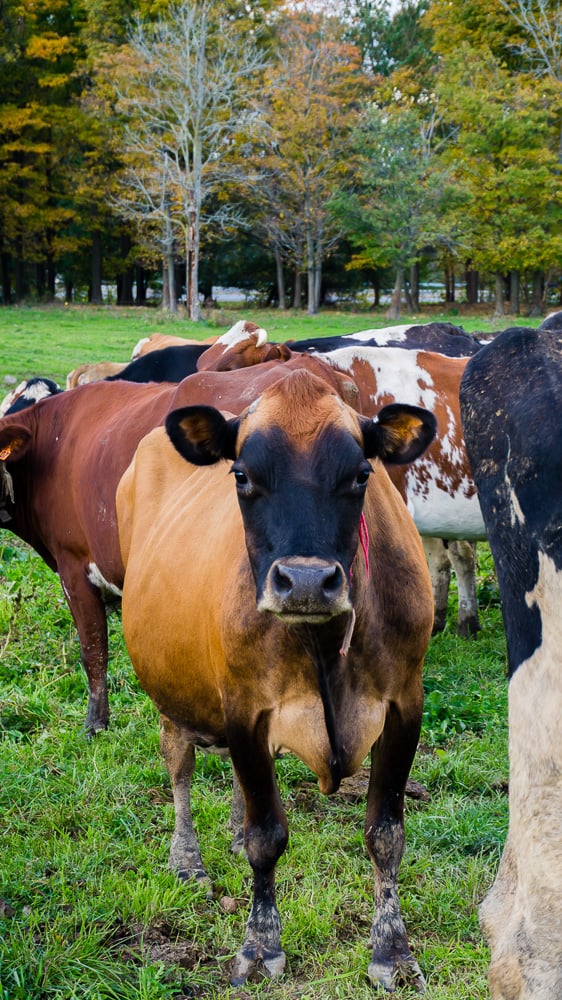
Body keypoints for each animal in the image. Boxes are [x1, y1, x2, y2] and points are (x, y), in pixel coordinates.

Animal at [116, 367, 436, 990]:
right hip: (171, 694)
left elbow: (385, 834)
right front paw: (261, 946)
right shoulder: (244, 709)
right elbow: (267, 838)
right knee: (179, 765)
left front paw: (392, 949)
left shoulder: (404, 704)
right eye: (242, 475)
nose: (307, 582)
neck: (322, 648)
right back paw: (187, 861)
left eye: (361, 474)